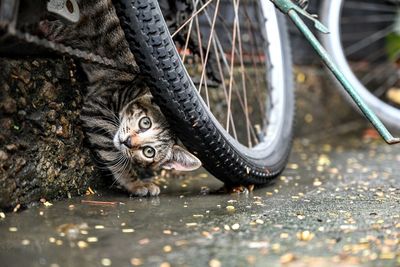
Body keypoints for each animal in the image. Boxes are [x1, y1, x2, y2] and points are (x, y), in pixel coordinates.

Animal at [39, 0, 202, 196]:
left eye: (149, 152)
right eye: (145, 122)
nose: (129, 142)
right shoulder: (96, 109)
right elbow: (113, 155)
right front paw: (135, 183)